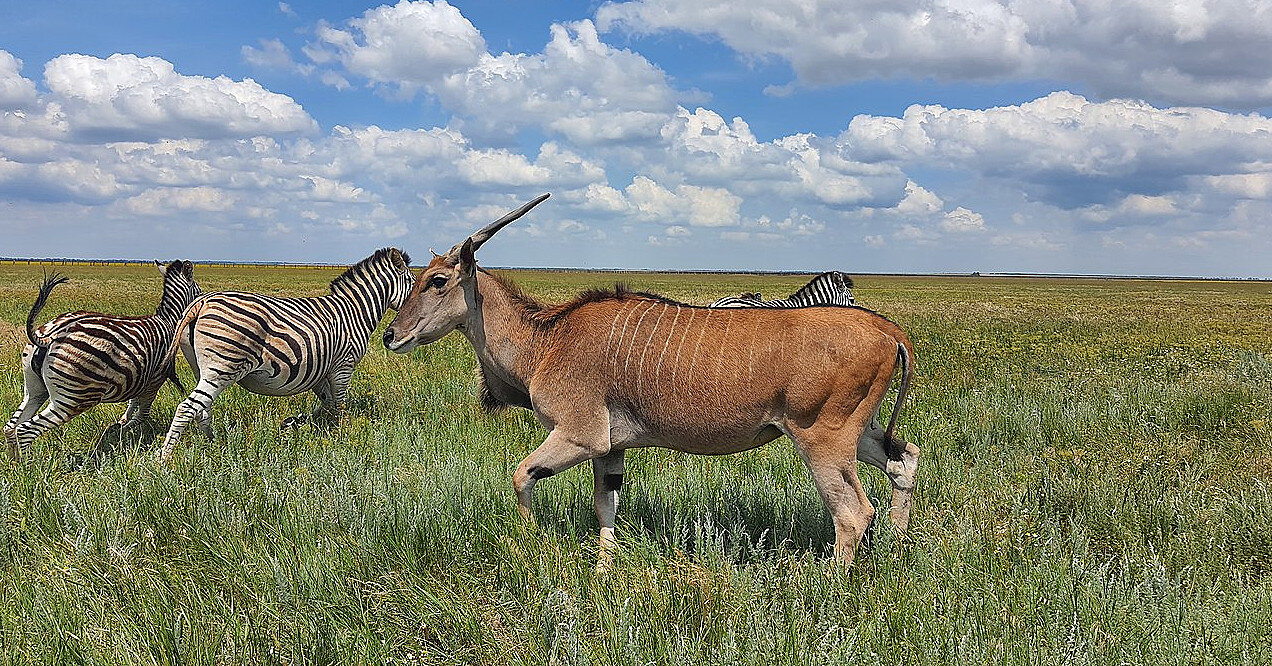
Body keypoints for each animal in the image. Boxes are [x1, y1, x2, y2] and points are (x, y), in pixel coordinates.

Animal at [5, 259, 200, 457]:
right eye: (198, 291)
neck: (168, 321)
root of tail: (51, 335)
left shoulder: (140, 376)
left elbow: (133, 403)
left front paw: (120, 426)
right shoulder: (155, 379)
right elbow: (141, 415)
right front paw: (122, 430)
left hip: (35, 390)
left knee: (11, 427)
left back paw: (14, 462)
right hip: (73, 398)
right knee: (25, 430)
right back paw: (29, 464)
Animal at [153, 246, 412, 460]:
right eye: (413, 282)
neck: (354, 312)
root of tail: (202, 302)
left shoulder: (320, 370)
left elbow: (327, 403)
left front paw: (292, 424)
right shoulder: (343, 367)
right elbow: (339, 404)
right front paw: (344, 433)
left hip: (203, 370)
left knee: (202, 409)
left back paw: (215, 446)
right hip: (222, 369)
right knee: (188, 407)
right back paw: (164, 459)